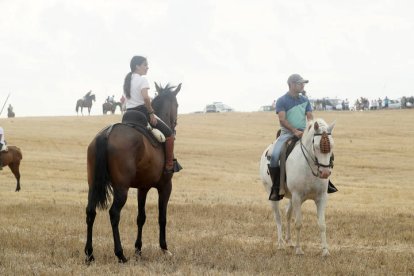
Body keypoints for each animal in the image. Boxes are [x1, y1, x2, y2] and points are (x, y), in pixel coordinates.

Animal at [84, 81, 181, 264]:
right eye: (177, 104)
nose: (174, 126)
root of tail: (107, 133)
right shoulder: (166, 186)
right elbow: (162, 217)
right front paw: (164, 248)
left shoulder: (143, 188)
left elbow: (140, 217)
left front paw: (138, 249)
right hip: (121, 188)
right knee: (114, 214)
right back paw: (120, 254)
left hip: (93, 185)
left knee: (90, 212)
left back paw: (89, 254)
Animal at [260, 118, 334, 256]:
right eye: (316, 147)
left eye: (332, 146)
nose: (325, 173)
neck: (309, 167)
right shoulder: (297, 196)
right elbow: (298, 223)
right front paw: (299, 250)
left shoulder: (321, 197)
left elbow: (322, 224)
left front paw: (325, 251)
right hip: (273, 194)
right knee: (278, 217)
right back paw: (281, 244)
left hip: (292, 198)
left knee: (288, 214)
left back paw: (289, 241)